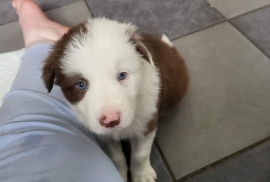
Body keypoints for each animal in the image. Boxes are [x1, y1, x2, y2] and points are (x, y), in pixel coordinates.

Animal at [42, 17, 190, 182]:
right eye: (81, 85)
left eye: (122, 75)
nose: (111, 120)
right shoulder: (105, 135)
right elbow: (116, 157)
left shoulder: (147, 122)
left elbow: (140, 155)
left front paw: (142, 175)